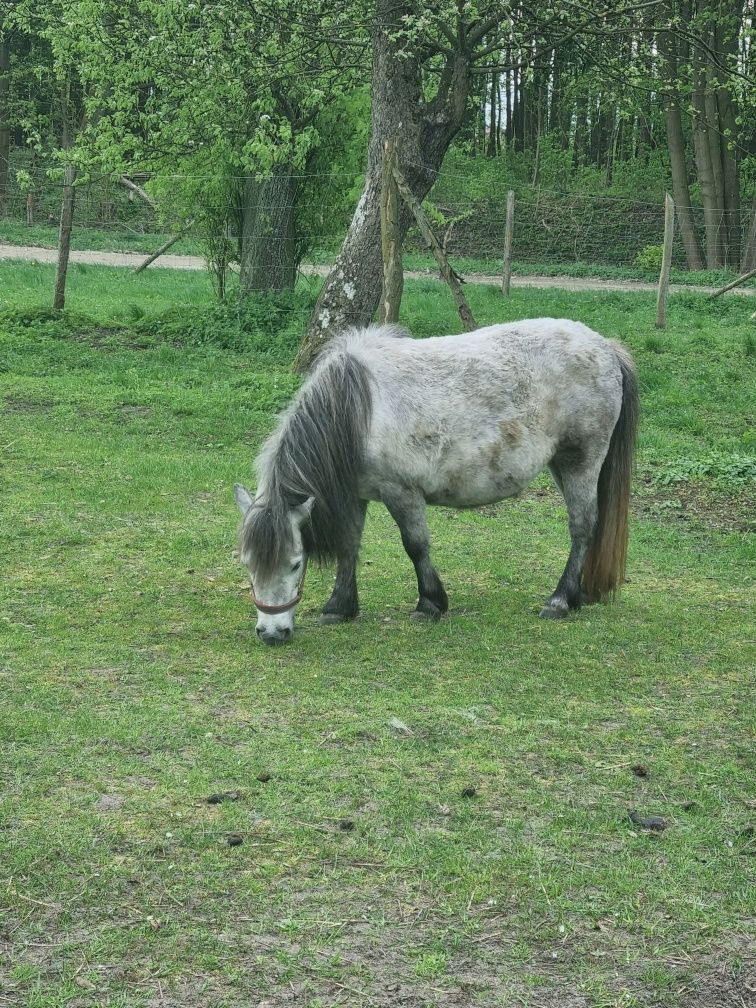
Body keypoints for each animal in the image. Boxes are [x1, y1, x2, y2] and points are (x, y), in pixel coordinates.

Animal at [235, 318, 641, 645]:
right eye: (247, 564)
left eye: (295, 564)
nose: (271, 634)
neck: (359, 411)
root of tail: (606, 346)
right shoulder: (355, 495)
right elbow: (349, 545)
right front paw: (339, 607)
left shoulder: (402, 493)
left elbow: (416, 546)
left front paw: (430, 603)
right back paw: (577, 596)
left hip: (580, 461)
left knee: (582, 527)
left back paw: (559, 600)